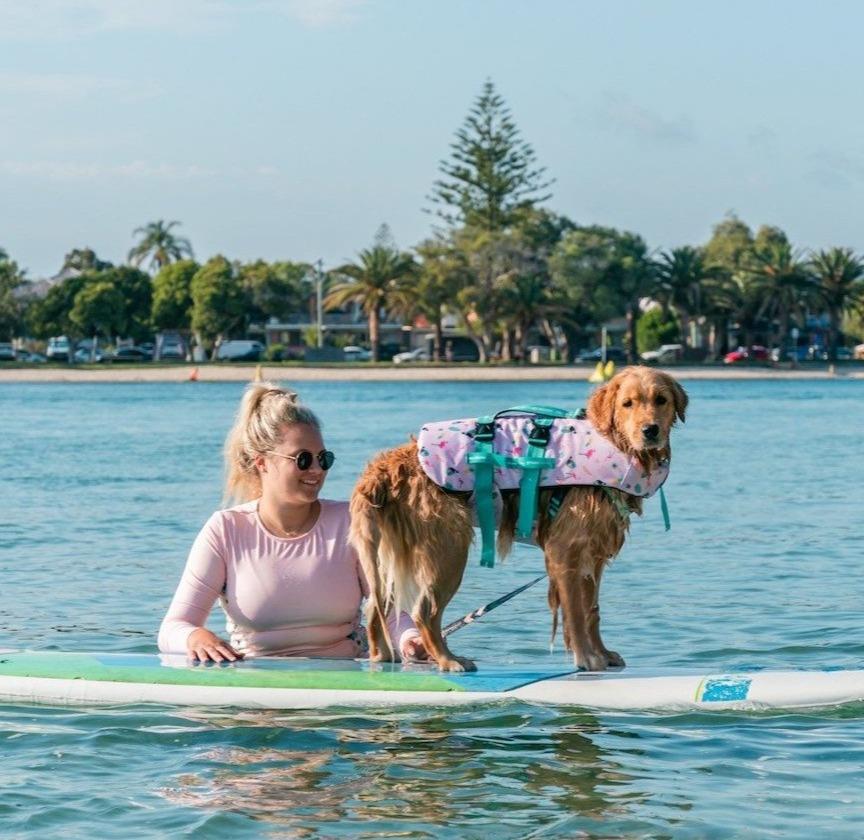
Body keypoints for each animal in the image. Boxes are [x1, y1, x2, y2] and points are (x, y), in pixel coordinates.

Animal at [352, 364, 688, 672]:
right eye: (627, 403)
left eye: (660, 400)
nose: (650, 430)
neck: (615, 443)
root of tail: (387, 465)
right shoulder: (565, 550)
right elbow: (575, 613)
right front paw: (587, 657)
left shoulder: (593, 554)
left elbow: (592, 610)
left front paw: (603, 653)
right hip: (448, 549)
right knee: (423, 611)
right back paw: (448, 659)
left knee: (375, 608)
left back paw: (383, 656)